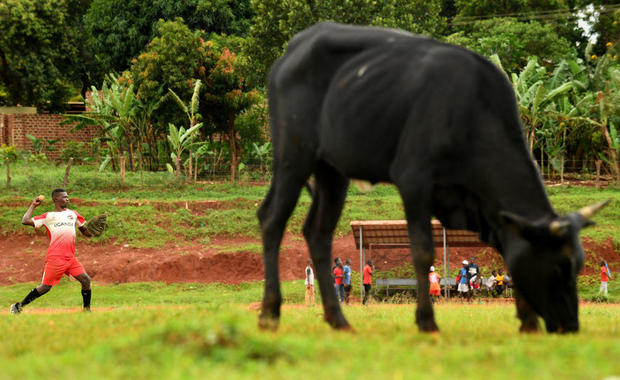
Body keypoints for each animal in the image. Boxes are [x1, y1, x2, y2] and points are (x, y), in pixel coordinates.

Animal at [256, 22, 604, 334]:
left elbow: (511, 253)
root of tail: (293, 49)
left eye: (579, 264)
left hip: (332, 170)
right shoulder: (414, 180)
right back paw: (270, 313)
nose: (571, 326)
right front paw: (427, 321)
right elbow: (423, 252)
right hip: (293, 154)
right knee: (272, 218)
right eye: (559, 267)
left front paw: (528, 321)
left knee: (318, 233)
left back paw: (338, 320)